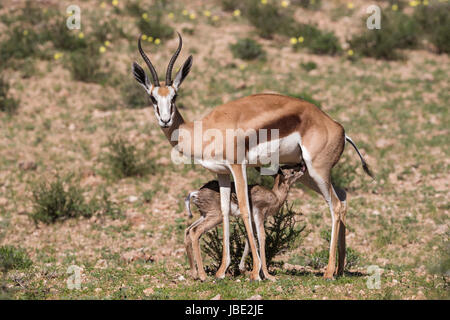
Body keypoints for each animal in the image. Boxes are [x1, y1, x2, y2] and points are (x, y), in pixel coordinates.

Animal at [133, 31, 372, 278]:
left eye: (175, 96)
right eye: (152, 97)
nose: (165, 120)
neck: (202, 129)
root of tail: (339, 128)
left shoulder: (238, 167)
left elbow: (246, 211)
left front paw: (256, 272)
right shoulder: (221, 173)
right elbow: (226, 213)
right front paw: (222, 271)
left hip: (317, 171)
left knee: (335, 206)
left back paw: (328, 272)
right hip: (308, 174)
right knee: (342, 198)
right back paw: (340, 269)